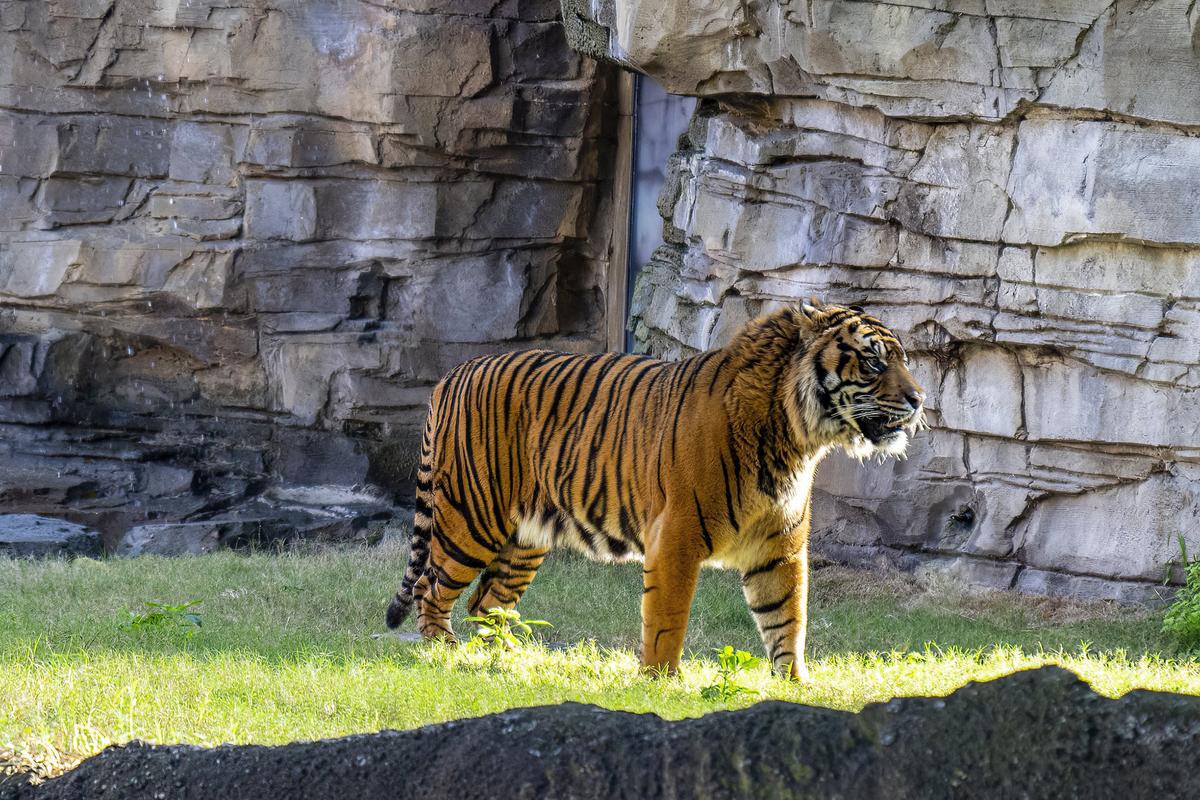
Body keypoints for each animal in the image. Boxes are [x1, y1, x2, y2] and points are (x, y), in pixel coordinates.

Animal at [385, 299, 925, 679]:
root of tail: (452, 374)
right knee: (433, 588)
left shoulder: (780, 546)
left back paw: (511, 658)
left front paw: (794, 685)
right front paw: (660, 682)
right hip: (471, 520)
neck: (796, 435)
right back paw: (444, 653)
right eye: (874, 363)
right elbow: (667, 617)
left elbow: (786, 617)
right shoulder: (677, 535)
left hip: (525, 541)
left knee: (486, 602)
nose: (920, 399)